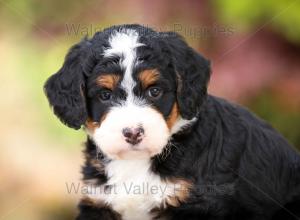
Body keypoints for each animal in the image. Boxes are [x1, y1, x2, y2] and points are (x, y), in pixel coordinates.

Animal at [44, 24, 300, 220]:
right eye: (105, 95)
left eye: (154, 91)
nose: (133, 133)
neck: (137, 164)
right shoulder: (99, 201)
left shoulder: (194, 205)